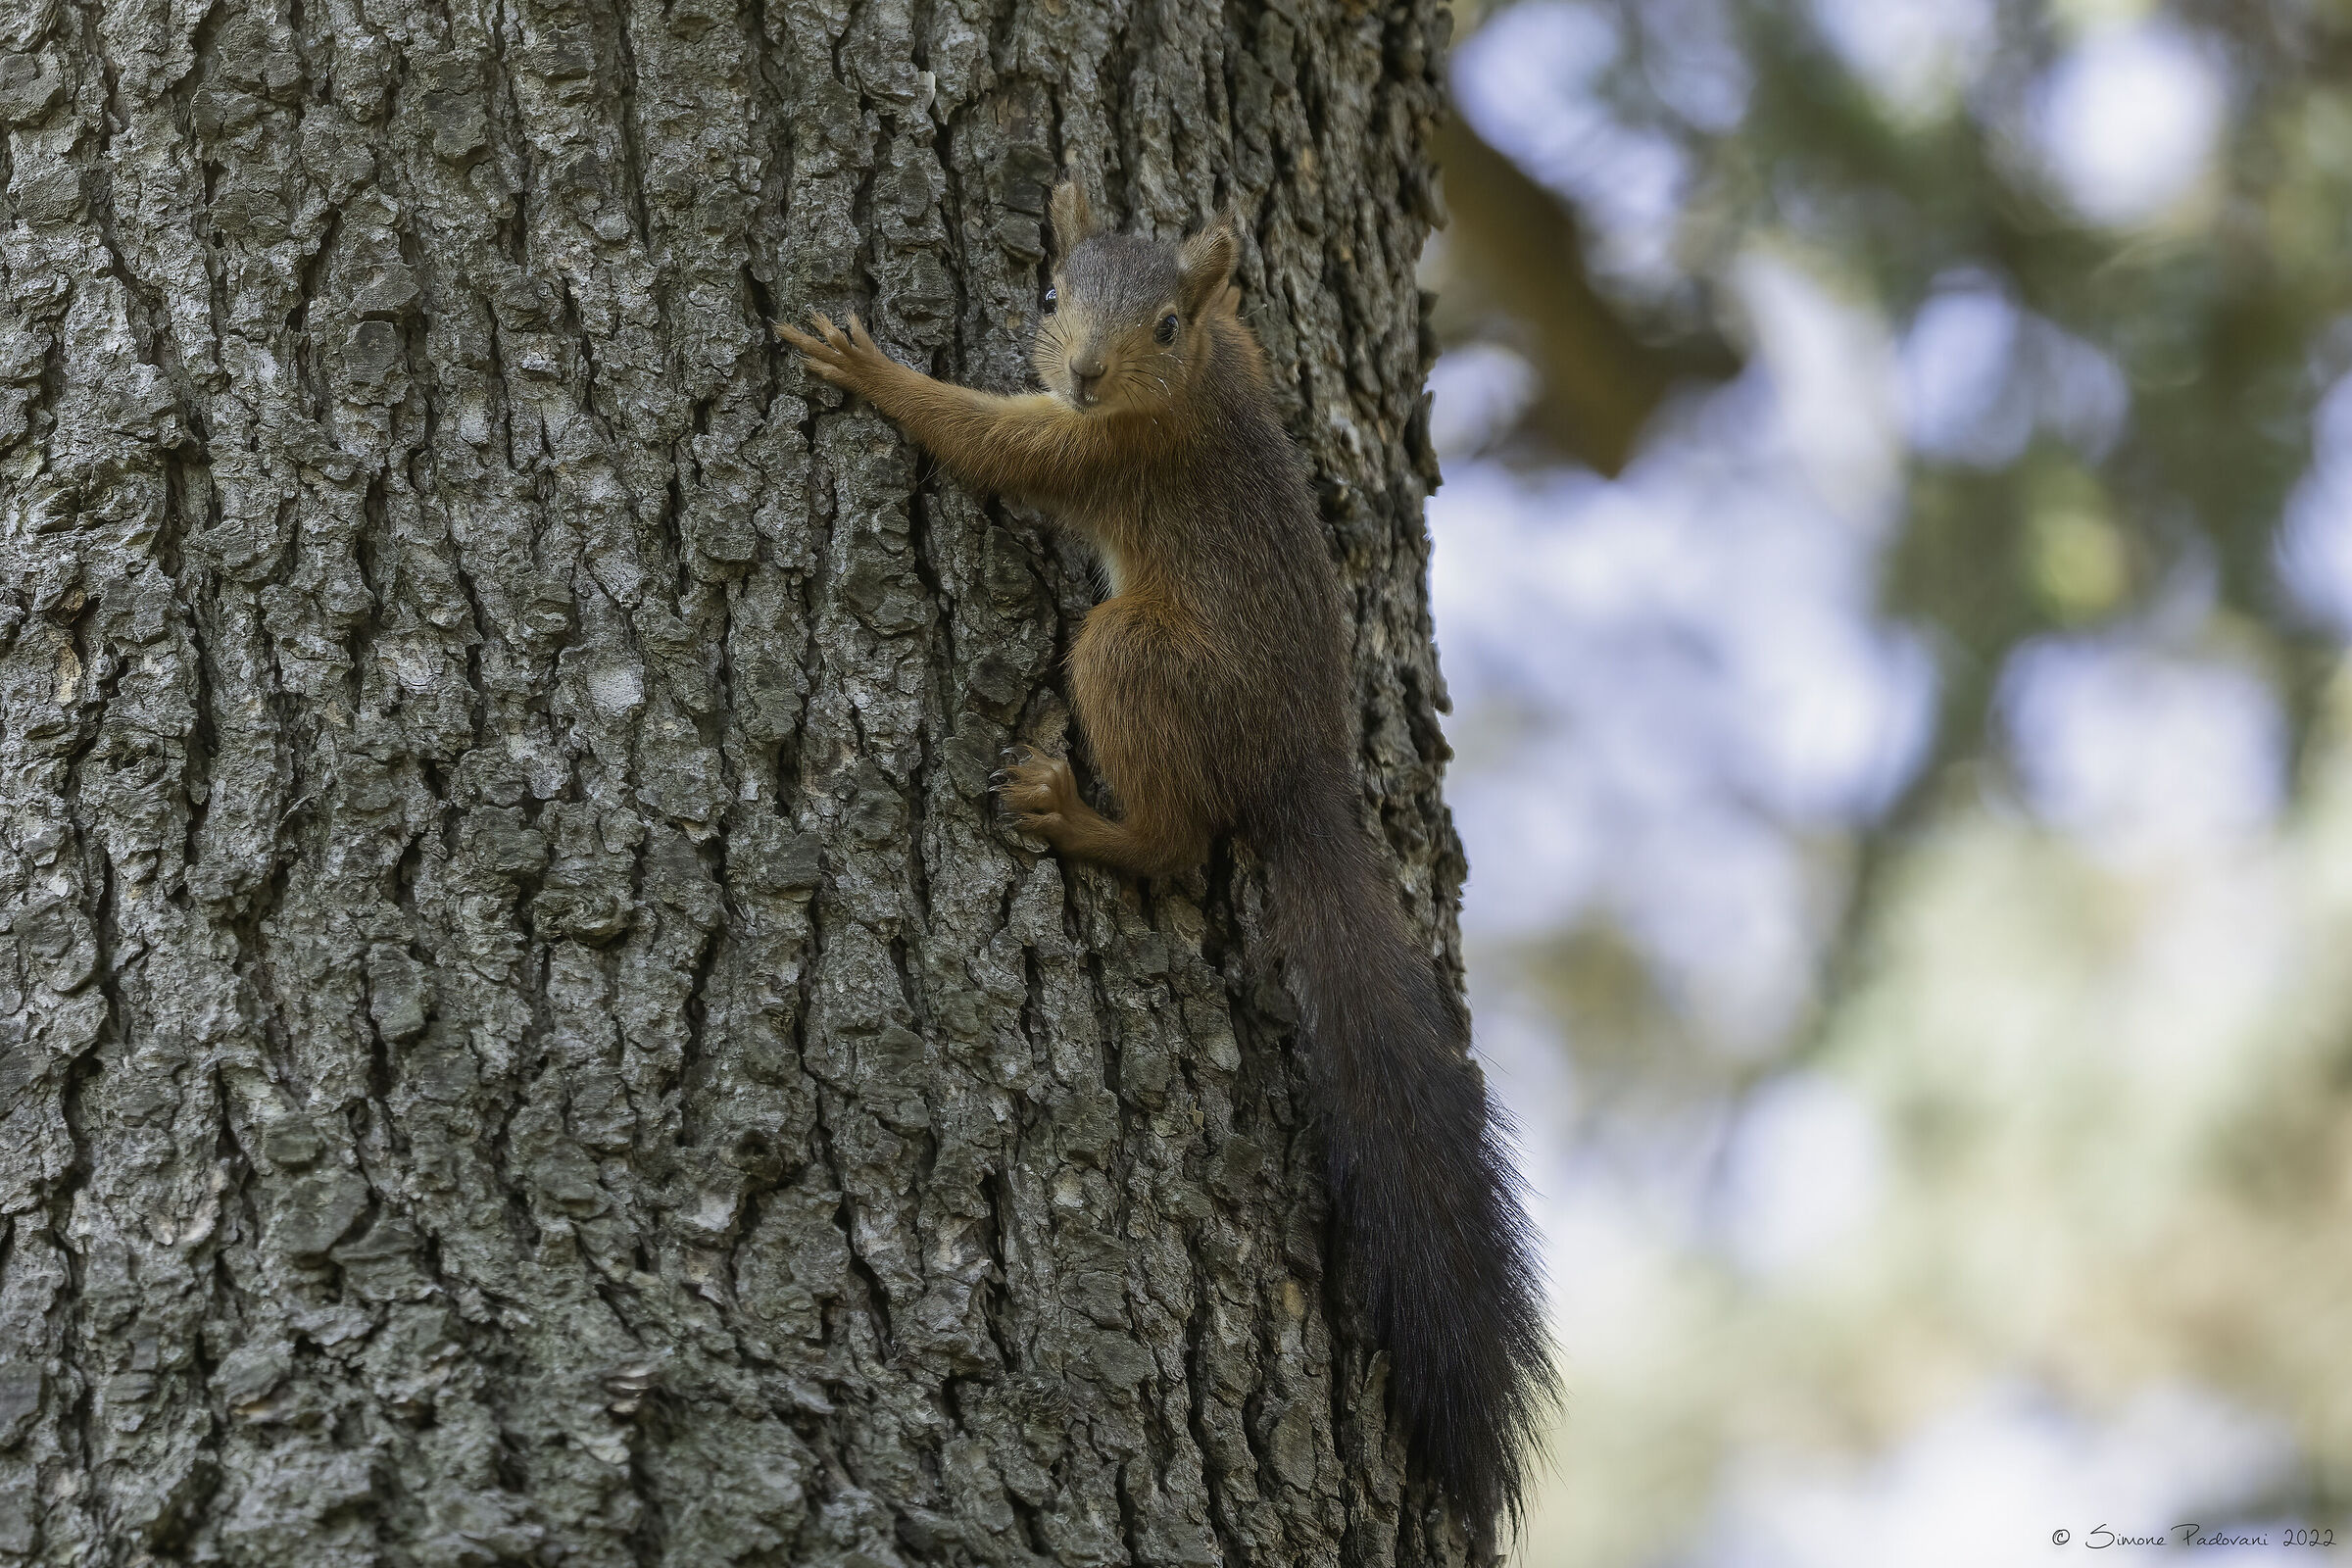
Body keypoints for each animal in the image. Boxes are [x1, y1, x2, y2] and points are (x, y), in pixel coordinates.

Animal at [779, 183, 1555, 1537]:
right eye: (1050, 291)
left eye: (1165, 324)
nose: (1084, 372)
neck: (1182, 394)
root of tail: (1300, 775)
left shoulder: (1100, 456)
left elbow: (993, 445)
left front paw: (872, 369)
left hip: (1131, 652)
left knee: (1178, 839)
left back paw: (1076, 815)